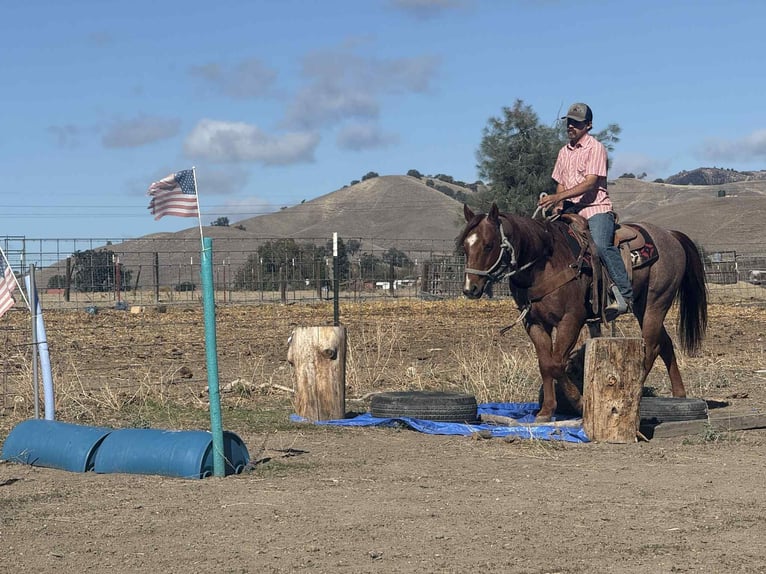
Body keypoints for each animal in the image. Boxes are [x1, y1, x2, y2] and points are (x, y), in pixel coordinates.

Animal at [458, 202, 708, 422]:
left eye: (489, 245)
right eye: (465, 247)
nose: (471, 288)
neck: (545, 263)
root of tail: (670, 234)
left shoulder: (571, 320)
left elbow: (556, 363)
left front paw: (578, 403)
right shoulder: (534, 323)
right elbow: (545, 363)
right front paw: (546, 411)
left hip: (657, 303)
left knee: (652, 346)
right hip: (642, 306)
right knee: (665, 343)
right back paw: (680, 395)